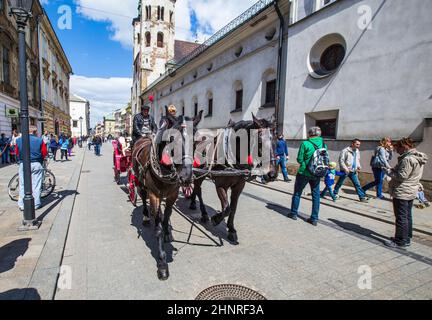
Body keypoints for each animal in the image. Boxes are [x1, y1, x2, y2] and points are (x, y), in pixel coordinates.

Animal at [133, 112, 202, 280]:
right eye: (172, 139)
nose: (186, 177)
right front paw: (162, 262)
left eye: (196, 140)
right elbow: (157, 227)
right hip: (140, 182)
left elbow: (167, 216)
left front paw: (167, 233)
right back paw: (146, 217)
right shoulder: (154, 195)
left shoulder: (172, 194)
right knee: (143, 198)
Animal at [189, 114, 276, 244]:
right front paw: (216, 219)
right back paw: (203, 213)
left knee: (196, 187)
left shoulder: (239, 187)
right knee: (198, 189)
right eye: (260, 141)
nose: (272, 174)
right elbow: (226, 208)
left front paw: (231, 230)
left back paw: (193, 203)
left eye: (277, 140)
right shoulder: (220, 185)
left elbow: (233, 209)